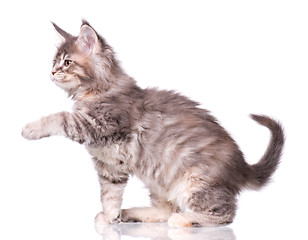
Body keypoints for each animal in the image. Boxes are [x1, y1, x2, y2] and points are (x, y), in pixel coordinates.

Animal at [22, 20, 286, 227]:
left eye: (67, 62)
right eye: (54, 61)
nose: (51, 72)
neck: (98, 91)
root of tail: (241, 167)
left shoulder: (98, 124)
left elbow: (60, 117)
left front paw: (30, 128)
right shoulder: (110, 165)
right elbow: (109, 194)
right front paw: (110, 216)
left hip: (194, 180)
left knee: (224, 214)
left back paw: (185, 220)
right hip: (159, 180)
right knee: (166, 209)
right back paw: (131, 213)